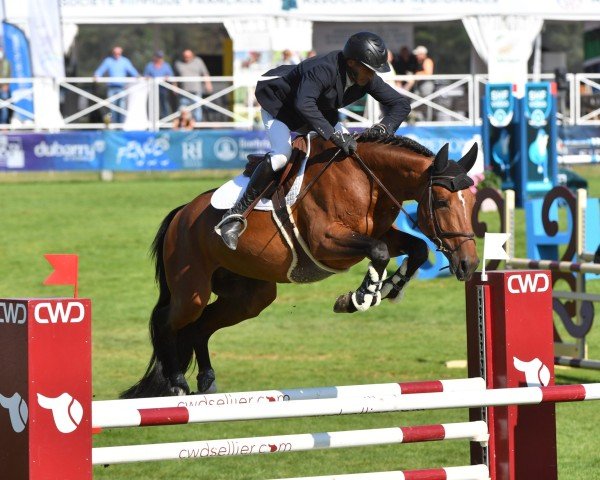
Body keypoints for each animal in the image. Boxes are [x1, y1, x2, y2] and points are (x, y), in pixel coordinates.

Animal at [120, 132, 478, 398]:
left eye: (473, 201)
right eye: (442, 202)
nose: (469, 264)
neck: (367, 180)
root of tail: (181, 214)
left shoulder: (380, 234)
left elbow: (416, 248)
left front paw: (387, 289)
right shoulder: (326, 242)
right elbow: (378, 252)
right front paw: (358, 298)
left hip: (250, 297)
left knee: (201, 326)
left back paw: (207, 380)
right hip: (192, 289)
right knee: (167, 322)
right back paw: (177, 383)